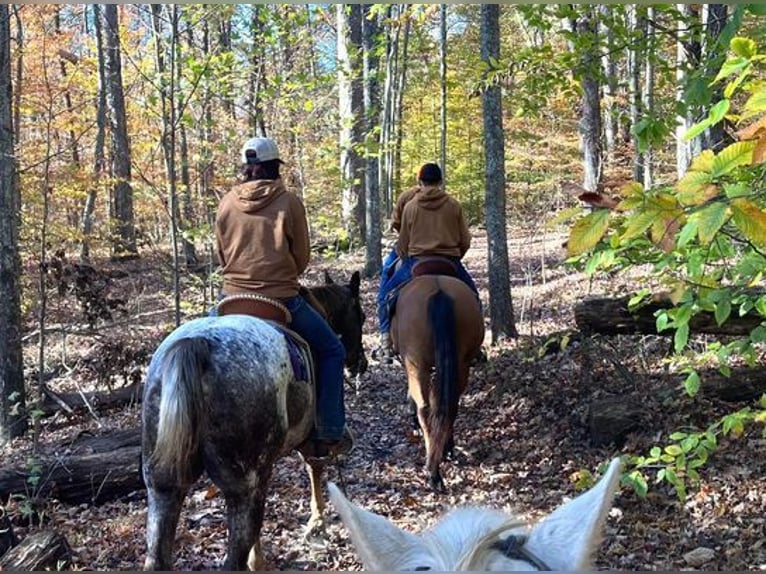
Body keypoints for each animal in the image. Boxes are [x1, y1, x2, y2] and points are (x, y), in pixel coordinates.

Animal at [142, 274, 368, 572]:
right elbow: (314, 467)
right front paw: (316, 523)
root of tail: (197, 345)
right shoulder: (307, 439)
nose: (362, 364)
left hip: (162, 484)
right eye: (361, 316)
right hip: (243, 482)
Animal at [392, 272, 484, 492]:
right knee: (449, 406)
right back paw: (445, 450)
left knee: (425, 408)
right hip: (461, 363)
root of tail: (438, 291)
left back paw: (433, 471)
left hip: (417, 363)